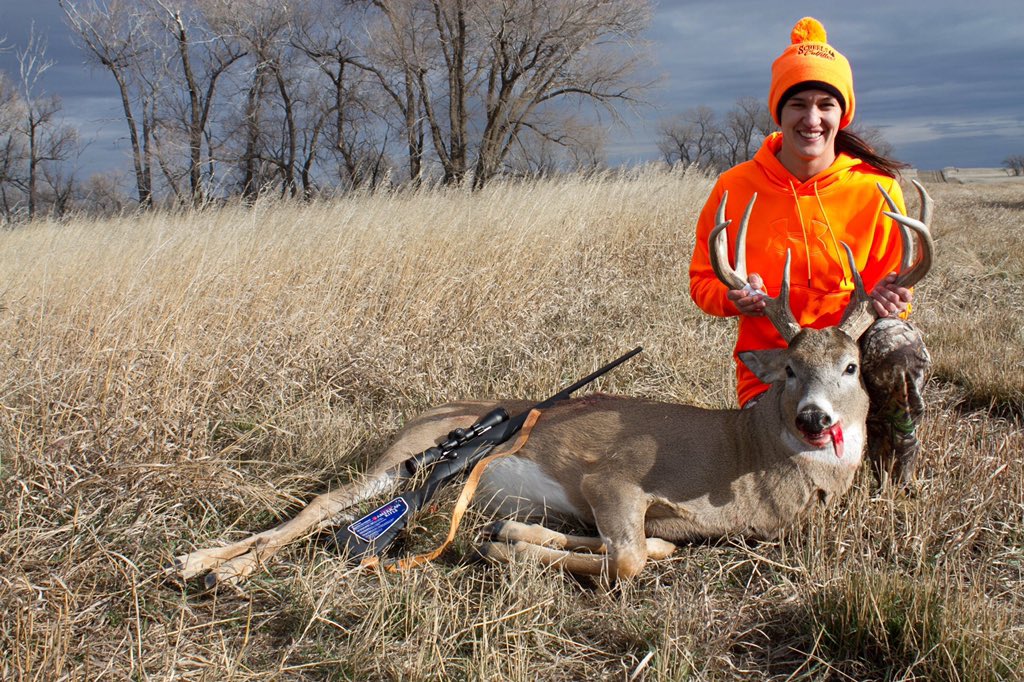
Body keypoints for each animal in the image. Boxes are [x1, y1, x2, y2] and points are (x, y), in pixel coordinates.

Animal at [173, 183, 932, 585]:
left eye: (851, 368)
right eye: (791, 369)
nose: (813, 419)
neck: (753, 462)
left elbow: (643, 548)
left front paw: (516, 534)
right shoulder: (613, 476)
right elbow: (628, 557)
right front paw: (513, 545)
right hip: (403, 457)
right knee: (327, 501)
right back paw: (209, 565)